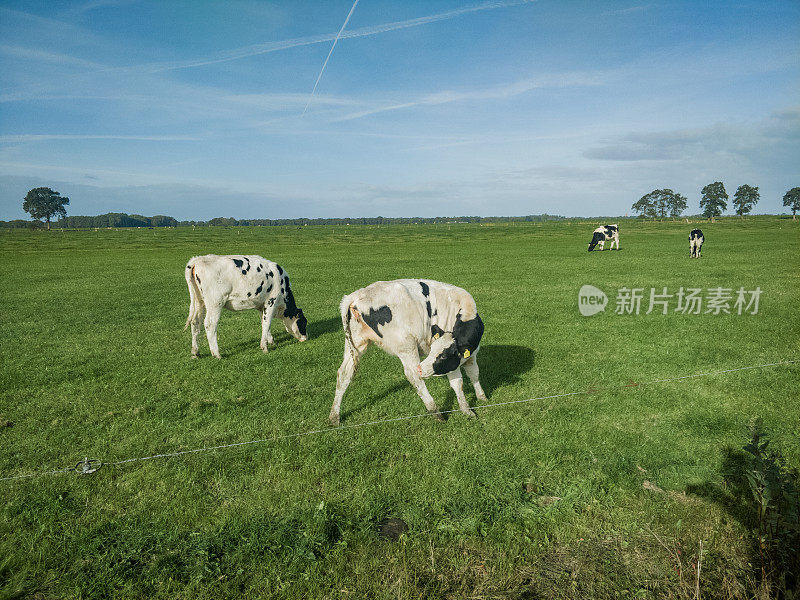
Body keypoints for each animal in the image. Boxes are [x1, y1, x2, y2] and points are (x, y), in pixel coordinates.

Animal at [326, 280, 484, 426]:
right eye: (442, 355)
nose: (422, 368)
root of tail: (356, 295)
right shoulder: (452, 362)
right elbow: (458, 382)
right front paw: (467, 410)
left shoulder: (470, 356)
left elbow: (474, 374)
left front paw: (482, 398)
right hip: (407, 346)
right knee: (414, 376)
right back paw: (436, 412)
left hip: (356, 344)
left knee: (344, 374)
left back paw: (334, 417)